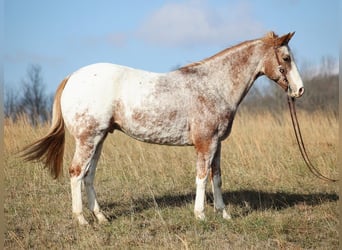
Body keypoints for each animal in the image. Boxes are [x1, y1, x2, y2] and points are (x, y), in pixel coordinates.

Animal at [22, 30, 304, 225]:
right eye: (286, 57)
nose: (299, 90)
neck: (213, 85)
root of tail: (72, 77)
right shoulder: (205, 143)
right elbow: (202, 177)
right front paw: (200, 215)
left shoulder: (217, 143)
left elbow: (217, 177)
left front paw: (223, 214)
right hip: (87, 139)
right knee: (76, 173)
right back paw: (81, 220)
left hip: (99, 139)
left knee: (89, 176)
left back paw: (101, 218)